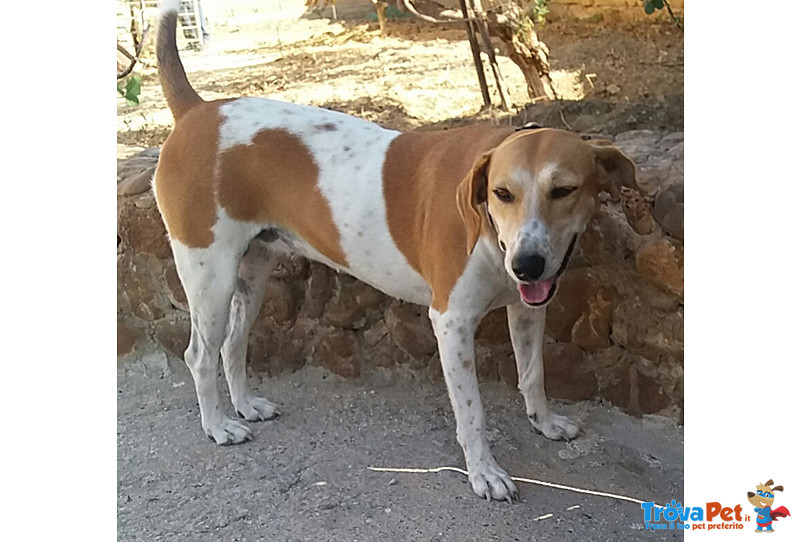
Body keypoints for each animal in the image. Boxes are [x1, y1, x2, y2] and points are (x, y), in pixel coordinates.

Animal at [152, 0, 636, 506]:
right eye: (503, 193)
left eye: (564, 190)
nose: (527, 265)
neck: (484, 222)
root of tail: (198, 111)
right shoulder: (451, 323)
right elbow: (472, 412)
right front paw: (484, 472)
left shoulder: (527, 310)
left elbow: (533, 373)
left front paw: (543, 422)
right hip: (210, 278)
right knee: (199, 355)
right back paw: (218, 426)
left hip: (252, 272)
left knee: (232, 343)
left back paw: (245, 406)